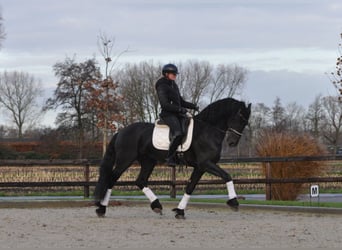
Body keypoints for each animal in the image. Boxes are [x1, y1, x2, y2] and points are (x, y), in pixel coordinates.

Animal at [93, 97, 251, 219]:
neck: (207, 130)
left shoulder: (200, 167)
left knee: (140, 181)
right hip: (125, 160)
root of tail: (121, 131)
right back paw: (101, 209)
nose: (232, 142)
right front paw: (234, 202)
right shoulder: (206, 163)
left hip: (148, 161)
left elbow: (190, 187)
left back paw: (156, 205)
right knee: (111, 179)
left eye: (245, 122)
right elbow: (227, 176)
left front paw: (180, 211)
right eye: (240, 118)